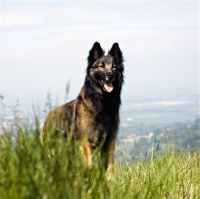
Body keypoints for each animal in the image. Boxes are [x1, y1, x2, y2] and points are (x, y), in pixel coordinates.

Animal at [40, 41, 124, 177]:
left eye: (114, 67)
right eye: (101, 66)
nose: (110, 75)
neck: (103, 103)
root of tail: (48, 116)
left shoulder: (109, 141)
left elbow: (110, 166)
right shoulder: (86, 143)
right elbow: (89, 166)